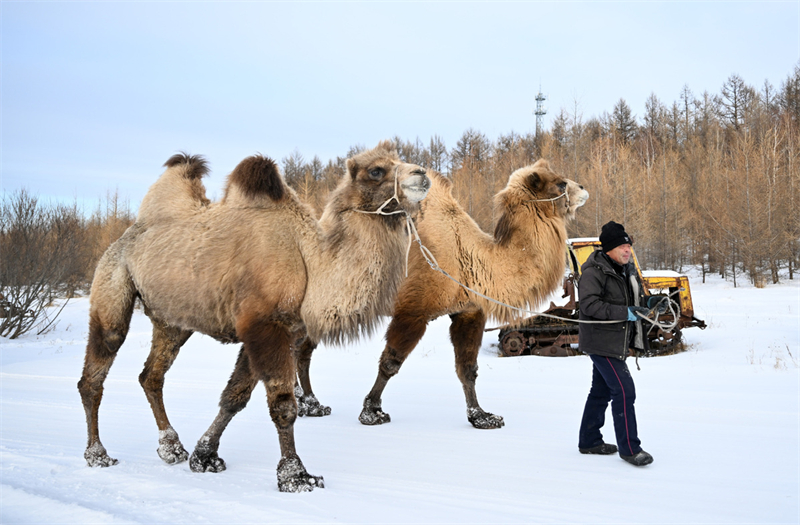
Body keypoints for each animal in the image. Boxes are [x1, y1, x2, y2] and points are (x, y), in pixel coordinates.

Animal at [78, 143, 432, 492]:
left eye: (399, 159)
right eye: (376, 170)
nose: (422, 173)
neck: (309, 262)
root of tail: (125, 237)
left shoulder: (274, 330)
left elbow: (234, 397)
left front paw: (204, 456)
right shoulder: (264, 325)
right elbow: (283, 405)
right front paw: (296, 475)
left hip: (172, 321)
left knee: (151, 376)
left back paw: (172, 448)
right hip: (112, 286)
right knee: (94, 373)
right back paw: (98, 454)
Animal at [292, 160, 588, 426]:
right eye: (561, 184)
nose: (583, 187)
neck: (470, 255)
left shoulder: (467, 311)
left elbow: (467, 369)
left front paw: (482, 416)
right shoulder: (413, 310)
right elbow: (391, 363)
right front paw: (372, 412)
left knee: (303, 347)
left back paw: (310, 404)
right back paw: (305, 403)